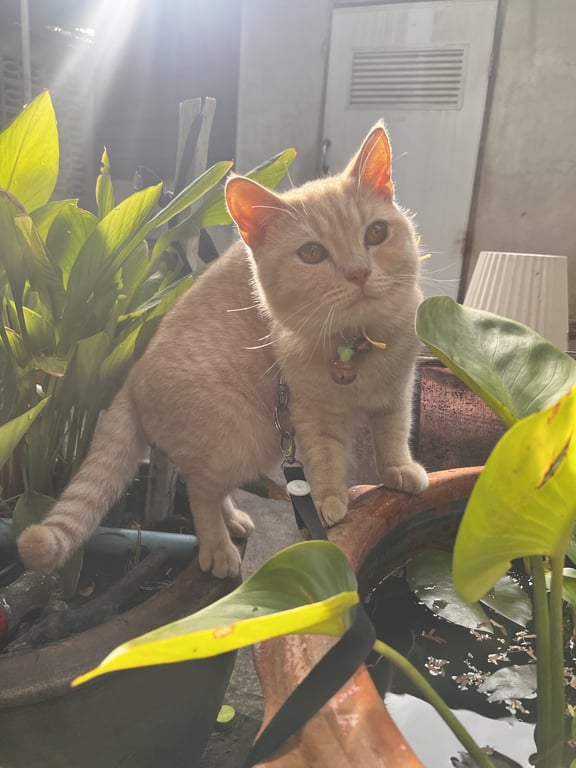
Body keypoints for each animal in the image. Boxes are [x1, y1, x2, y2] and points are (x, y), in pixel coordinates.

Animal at [17, 122, 428, 579]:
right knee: (200, 492)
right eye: (312, 253)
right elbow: (325, 459)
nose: (358, 272)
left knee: (211, 487)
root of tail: (132, 376)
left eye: (376, 233)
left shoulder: (397, 393)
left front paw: (398, 471)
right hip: (238, 436)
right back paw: (218, 549)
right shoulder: (311, 413)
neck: (354, 346)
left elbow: (393, 434)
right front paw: (329, 502)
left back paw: (233, 521)